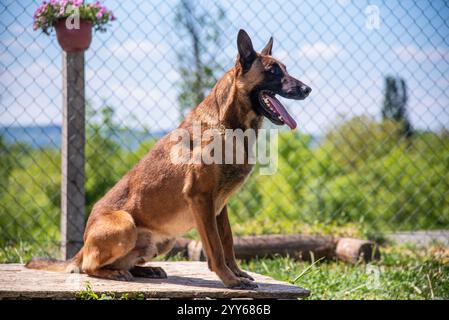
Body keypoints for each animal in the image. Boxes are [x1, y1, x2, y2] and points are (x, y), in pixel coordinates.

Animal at [26, 30, 310, 288]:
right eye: (273, 71)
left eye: (285, 69)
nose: (307, 89)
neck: (229, 126)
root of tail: (82, 247)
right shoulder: (201, 198)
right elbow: (216, 248)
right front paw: (230, 280)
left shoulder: (219, 207)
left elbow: (228, 242)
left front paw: (237, 273)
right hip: (125, 224)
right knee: (87, 267)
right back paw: (114, 273)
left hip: (164, 241)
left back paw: (145, 270)